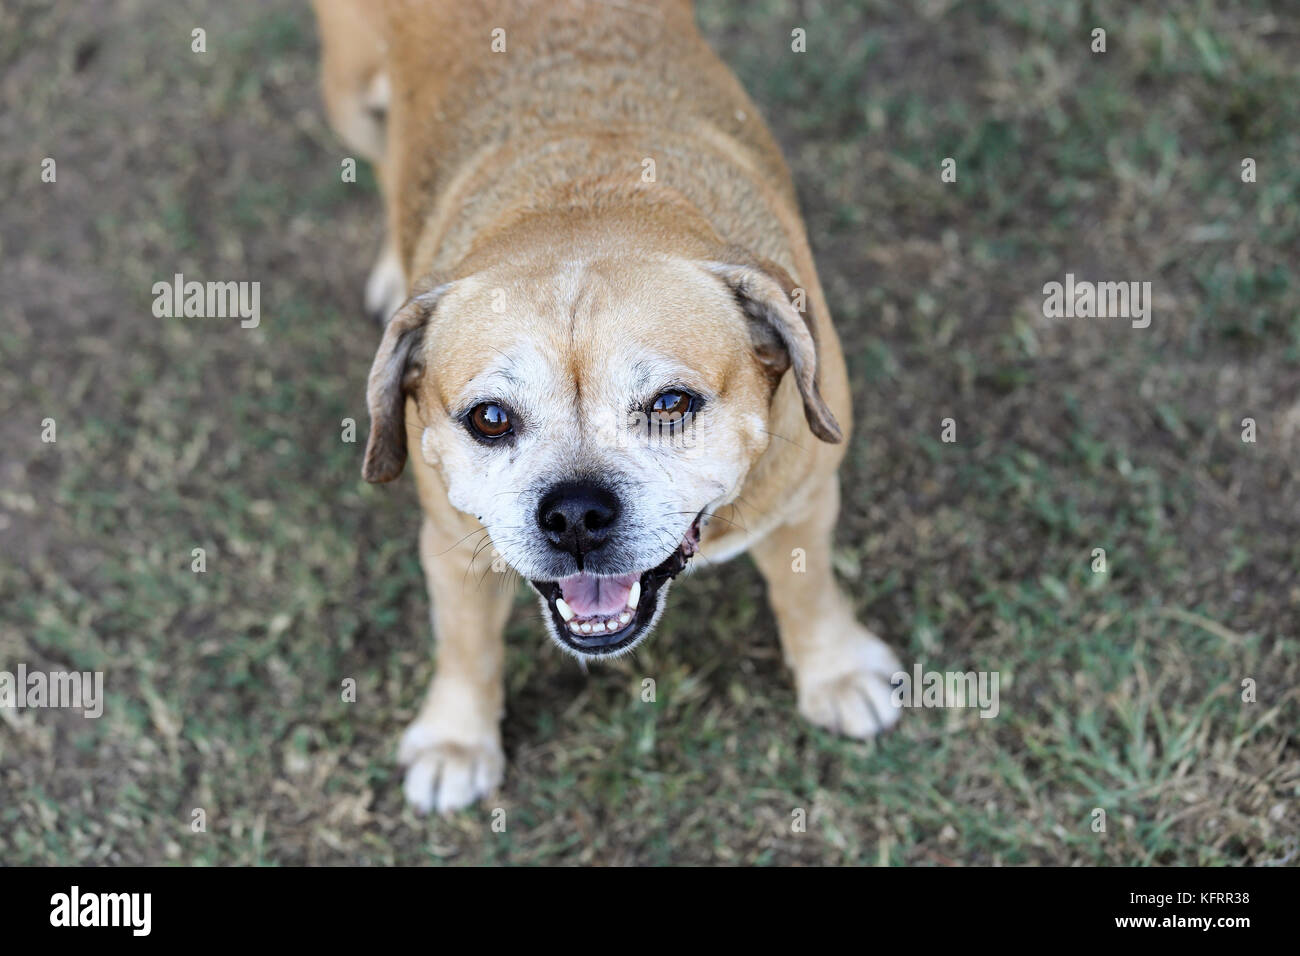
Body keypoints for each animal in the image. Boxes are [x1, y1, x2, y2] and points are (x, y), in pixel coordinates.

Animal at [314, 0, 904, 816]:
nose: (574, 516)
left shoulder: (804, 498)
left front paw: (835, 670)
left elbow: (807, 588)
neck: (591, 194)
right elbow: (466, 643)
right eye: (490, 419)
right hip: (349, 102)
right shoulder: (452, 546)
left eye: (672, 403)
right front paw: (457, 738)